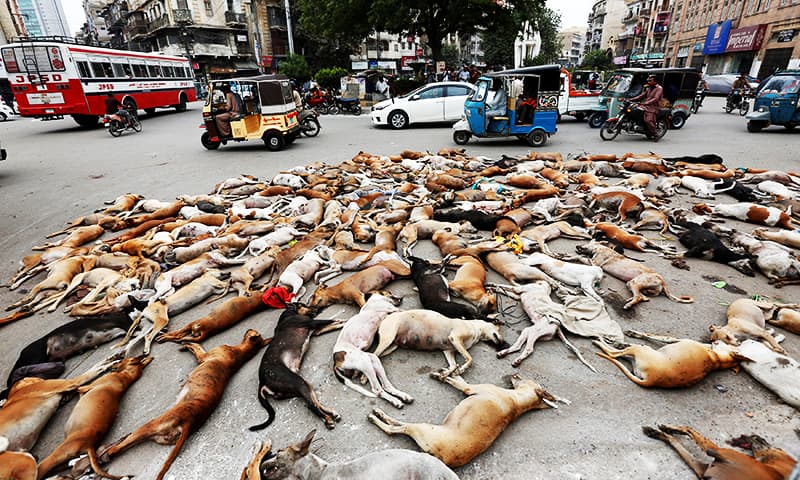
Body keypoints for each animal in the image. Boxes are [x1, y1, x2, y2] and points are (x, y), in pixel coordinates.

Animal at [248, 306, 340, 434]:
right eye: (302, 304)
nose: (317, 308)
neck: (286, 316)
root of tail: (262, 382)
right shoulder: (313, 322)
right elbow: (333, 321)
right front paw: (344, 320)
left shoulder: (316, 330)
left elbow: (334, 325)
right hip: (298, 382)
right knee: (311, 406)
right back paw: (327, 420)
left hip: (303, 386)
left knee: (314, 403)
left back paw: (331, 414)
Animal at [368, 376, 556, 466]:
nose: (516, 374)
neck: (517, 402)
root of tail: (442, 459)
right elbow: (458, 376)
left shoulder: (469, 388)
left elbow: (457, 381)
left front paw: (442, 375)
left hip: (422, 428)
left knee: (395, 428)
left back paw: (377, 415)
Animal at [372, 312, 504, 378]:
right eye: (499, 328)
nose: (503, 342)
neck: (475, 328)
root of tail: (385, 318)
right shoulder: (455, 338)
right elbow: (470, 359)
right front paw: (461, 370)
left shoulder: (449, 350)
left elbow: (453, 365)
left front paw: (447, 373)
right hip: (388, 339)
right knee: (373, 354)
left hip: (392, 346)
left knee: (376, 355)